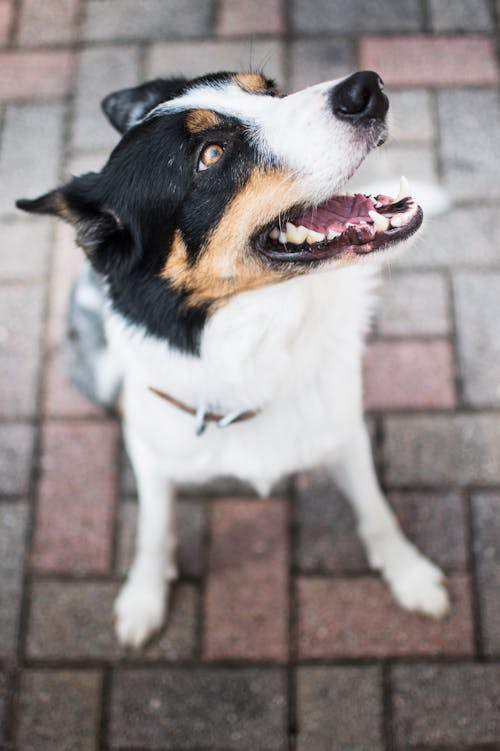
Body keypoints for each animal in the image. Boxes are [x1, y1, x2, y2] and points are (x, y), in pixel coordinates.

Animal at [18, 67, 450, 648]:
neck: (254, 339)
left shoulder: (343, 429)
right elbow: (154, 526)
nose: (366, 88)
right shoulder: (149, 446)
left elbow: (376, 509)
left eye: (270, 90)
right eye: (211, 155)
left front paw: (409, 573)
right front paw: (143, 596)